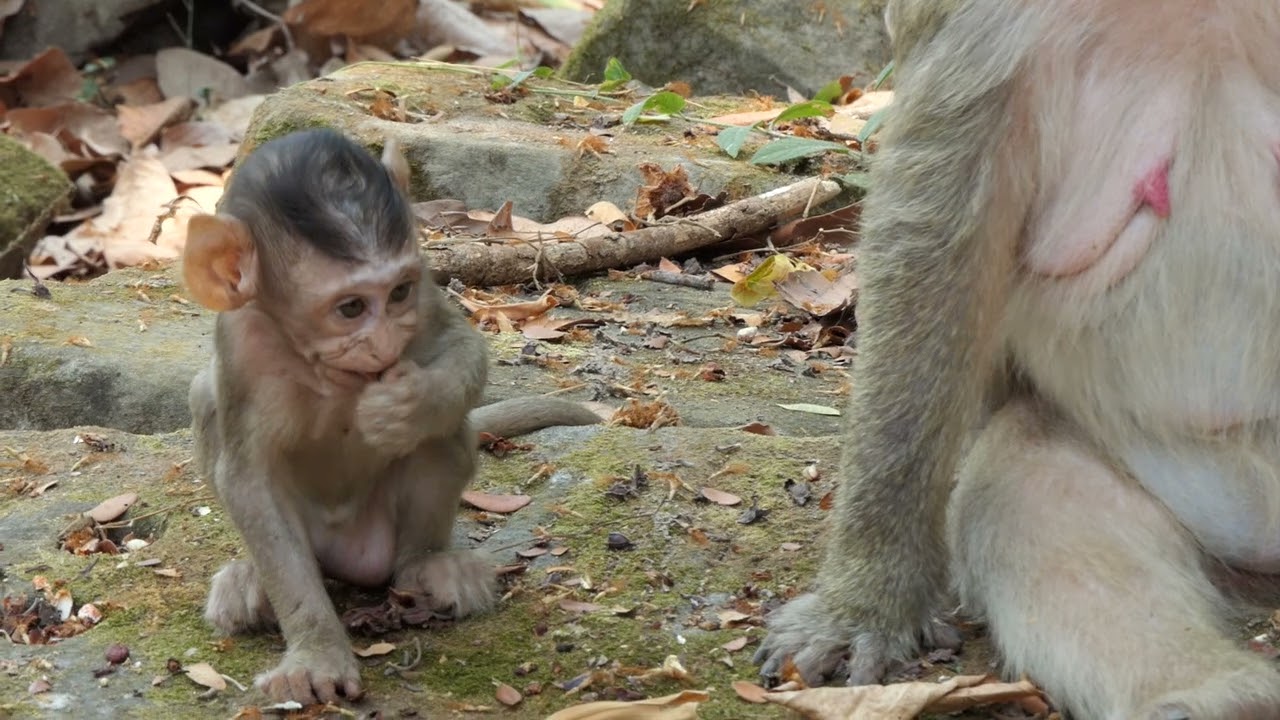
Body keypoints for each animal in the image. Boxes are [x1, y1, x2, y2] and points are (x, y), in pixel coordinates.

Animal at [182, 128, 601, 705]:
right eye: (351, 308)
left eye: (397, 292)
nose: (383, 347)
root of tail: (348, 555)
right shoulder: (242, 345)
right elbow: (250, 479)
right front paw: (315, 655)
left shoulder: (423, 288)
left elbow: (462, 347)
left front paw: (410, 404)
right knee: (205, 395)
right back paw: (250, 584)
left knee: (444, 435)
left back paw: (425, 567)